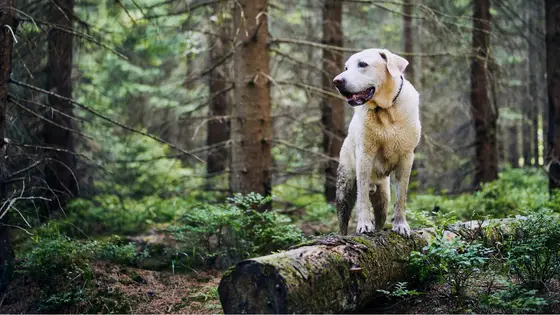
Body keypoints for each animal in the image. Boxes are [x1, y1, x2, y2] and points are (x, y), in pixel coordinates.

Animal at [332, 48, 420, 237]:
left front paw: (401, 225)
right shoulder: (365, 155)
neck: (386, 111)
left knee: (381, 214)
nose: (337, 81)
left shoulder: (406, 157)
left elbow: (401, 196)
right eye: (346, 67)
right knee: (343, 219)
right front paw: (364, 224)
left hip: (383, 198)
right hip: (344, 187)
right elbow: (363, 197)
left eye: (362, 64)